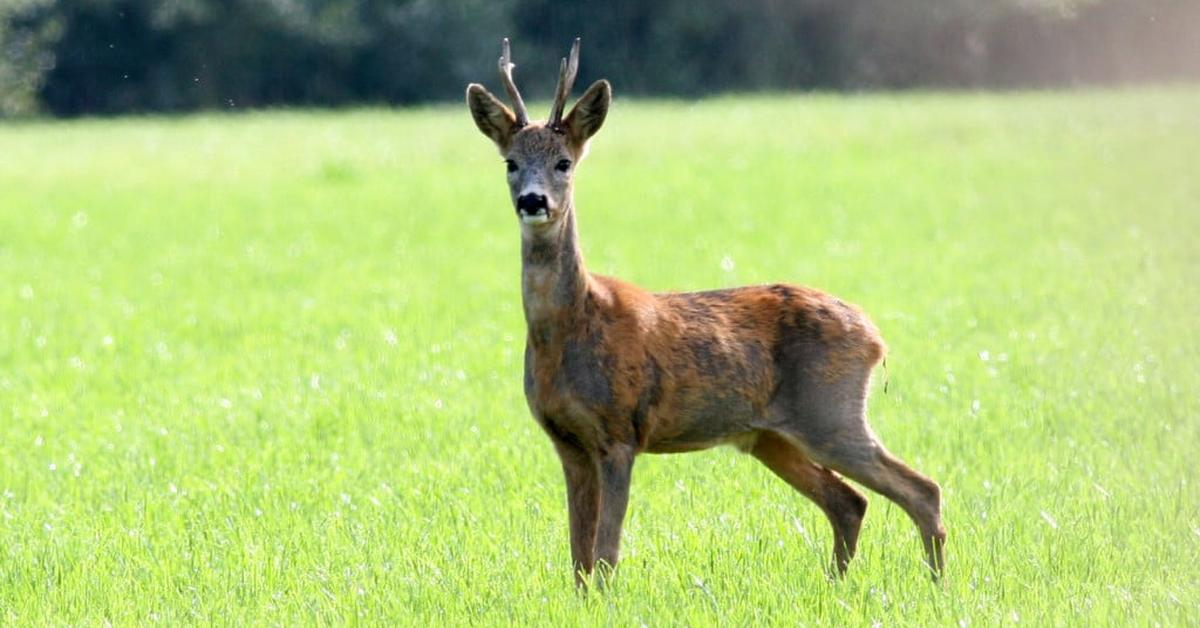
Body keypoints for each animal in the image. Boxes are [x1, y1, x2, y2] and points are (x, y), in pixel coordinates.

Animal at [468, 38, 945, 590]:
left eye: (564, 162)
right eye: (510, 163)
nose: (533, 200)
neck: (572, 326)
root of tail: (875, 335)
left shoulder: (620, 430)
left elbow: (606, 553)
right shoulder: (566, 440)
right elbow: (578, 558)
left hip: (830, 411)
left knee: (921, 489)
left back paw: (935, 588)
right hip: (769, 436)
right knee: (850, 501)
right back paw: (838, 587)